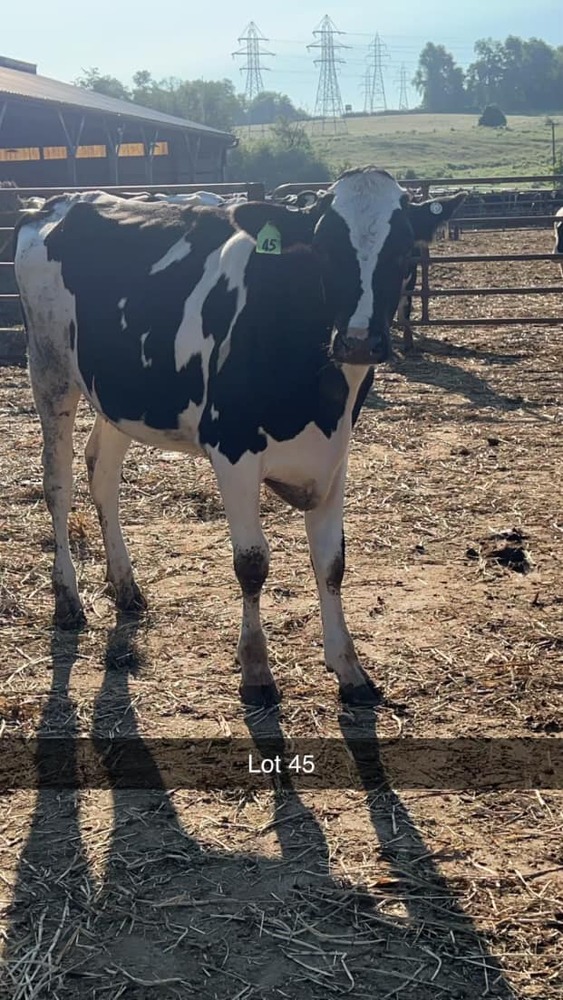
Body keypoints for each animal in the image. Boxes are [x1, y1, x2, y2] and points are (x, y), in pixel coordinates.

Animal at [14, 167, 463, 706]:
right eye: (324, 248)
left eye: (403, 251)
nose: (358, 341)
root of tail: (53, 203)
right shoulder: (232, 450)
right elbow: (252, 563)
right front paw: (256, 670)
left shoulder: (336, 455)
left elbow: (332, 562)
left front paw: (350, 669)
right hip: (50, 371)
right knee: (57, 486)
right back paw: (67, 599)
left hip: (123, 395)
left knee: (102, 472)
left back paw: (125, 587)